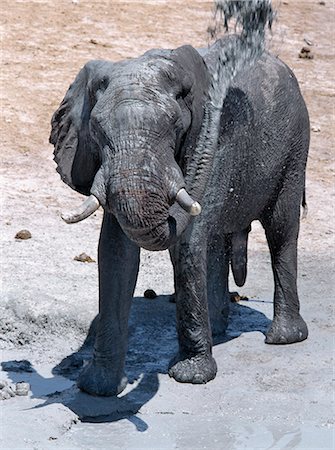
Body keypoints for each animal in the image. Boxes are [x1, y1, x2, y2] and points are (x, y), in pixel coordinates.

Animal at [49, 34, 310, 394]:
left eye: (174, 128)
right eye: (98, 132)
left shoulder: (214, 146)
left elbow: (187, 241)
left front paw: (191, 376)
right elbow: (116, 252)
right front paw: (98, 388)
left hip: (295, 146)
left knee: (281, 230)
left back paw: (284, 338)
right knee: (216, 242)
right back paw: (218, 327)